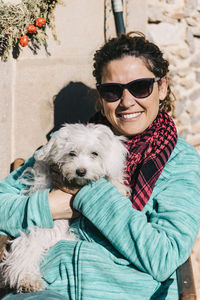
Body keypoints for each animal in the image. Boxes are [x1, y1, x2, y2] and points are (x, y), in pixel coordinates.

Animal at [0, 122, 130, 292]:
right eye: (71, 153)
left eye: (95, 154)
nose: (81, 171)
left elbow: (110, 175)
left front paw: (119, 186)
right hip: (33, 236)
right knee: (22, 259)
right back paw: (28, 281)